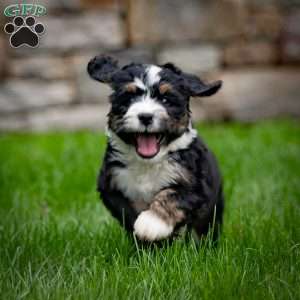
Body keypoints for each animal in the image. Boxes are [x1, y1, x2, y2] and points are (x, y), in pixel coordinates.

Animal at [88, 55, 224, 243]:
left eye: (165, 100)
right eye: (129, 99)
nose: (145, 116)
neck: (148, 163)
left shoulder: (196, 186)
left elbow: (171, 195)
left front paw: (151, 224)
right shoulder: (111, 185)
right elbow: (127, 213)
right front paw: (145, 238)